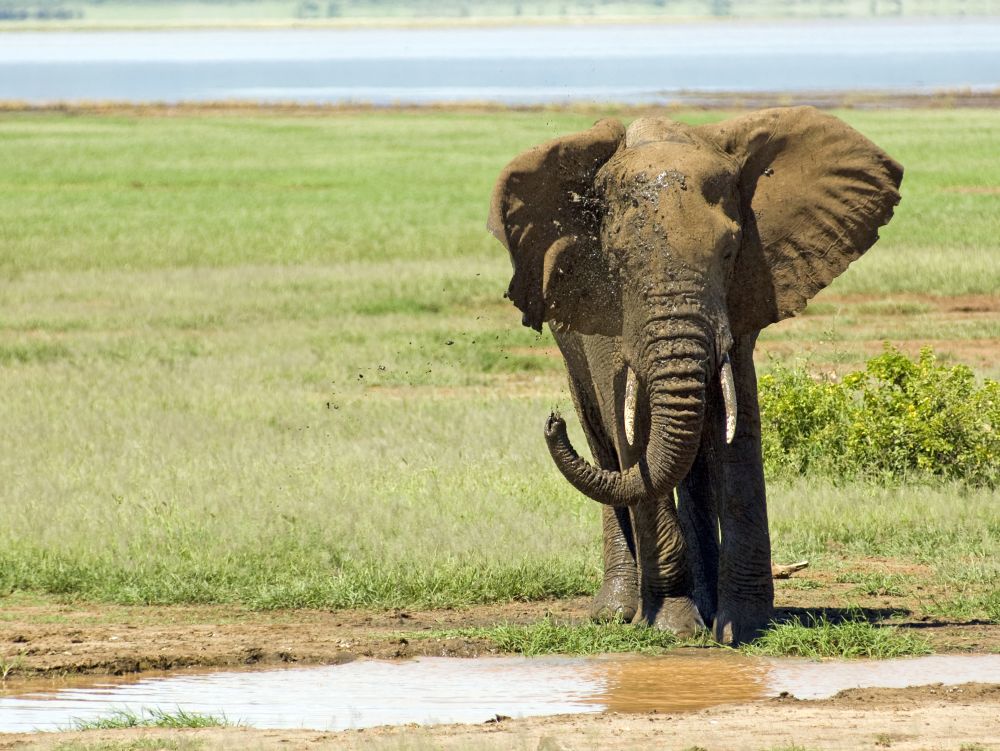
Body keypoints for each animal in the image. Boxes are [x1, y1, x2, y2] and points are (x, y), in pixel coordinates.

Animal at [488, 106, 904, 648]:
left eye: (729, 253)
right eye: (616, 261)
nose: (550, 422)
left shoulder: (745, 293)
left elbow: (738, 427)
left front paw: (744, 629)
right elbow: (633, 439)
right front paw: (673, 628)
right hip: (568, 342)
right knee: (606, 446)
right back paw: (619, 612)